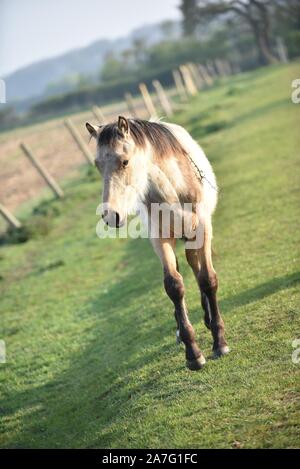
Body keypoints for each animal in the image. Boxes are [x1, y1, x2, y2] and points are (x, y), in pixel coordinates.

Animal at [85, 116, 229, 370]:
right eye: (98, 165)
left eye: (125, 161)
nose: (111, 216)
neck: (175, 189)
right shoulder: (160, 239)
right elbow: (174, 285)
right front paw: (193, 353)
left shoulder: (203, 230)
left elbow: (208, 280)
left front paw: (219, 342)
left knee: (197, 268)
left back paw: (208, 319)